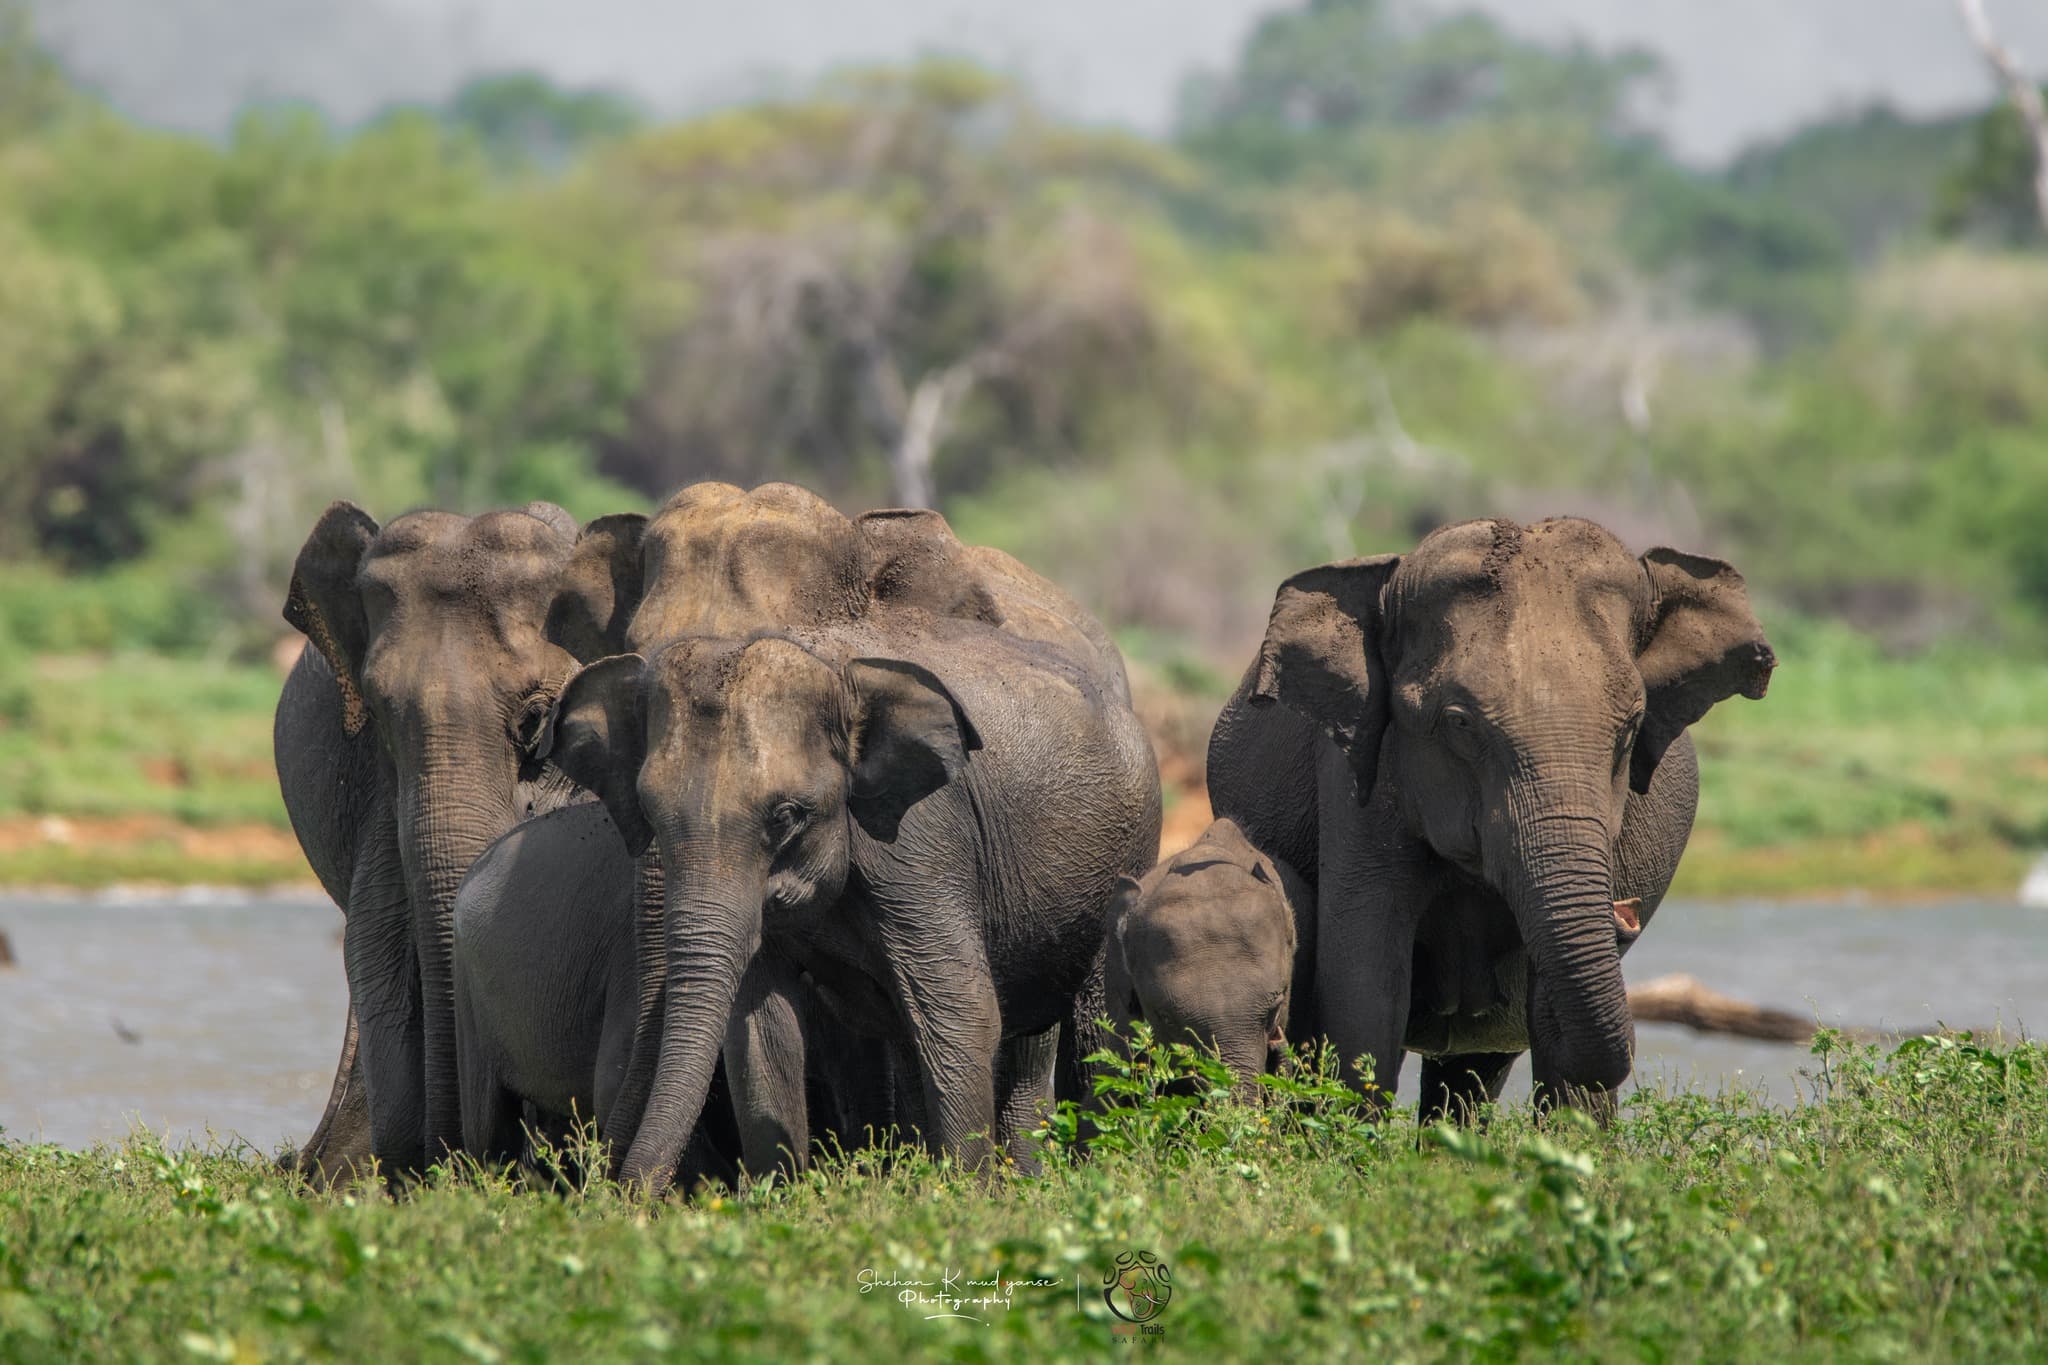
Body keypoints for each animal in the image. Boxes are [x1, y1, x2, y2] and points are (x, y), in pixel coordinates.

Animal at [541, 613, 1161, 1195]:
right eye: (649, 811)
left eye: (787, 815)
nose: (619, 1196)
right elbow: (762, 1031)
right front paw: (779, 1202)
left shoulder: (921, 839)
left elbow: (961, 1009)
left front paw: (967, 1200)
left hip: (1129, 852)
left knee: (1078, 1027)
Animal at [1205, 517, 1774, 1119]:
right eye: (1459, 723)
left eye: (1631, 727)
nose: (1626, 915)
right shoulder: (1357, 777)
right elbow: (1364, 994)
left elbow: (1555, 1031)